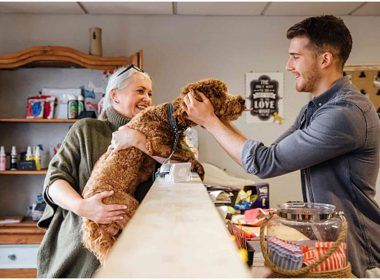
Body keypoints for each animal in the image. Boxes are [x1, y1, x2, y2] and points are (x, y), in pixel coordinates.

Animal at [81, 78, 245, 262]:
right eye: (218, 94)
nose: (242, 100)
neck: (169, 118)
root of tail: (90, 222)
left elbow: (186, 151)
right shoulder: (156, 145)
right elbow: (187, 154)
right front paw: (198, 167)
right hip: (126, 206)